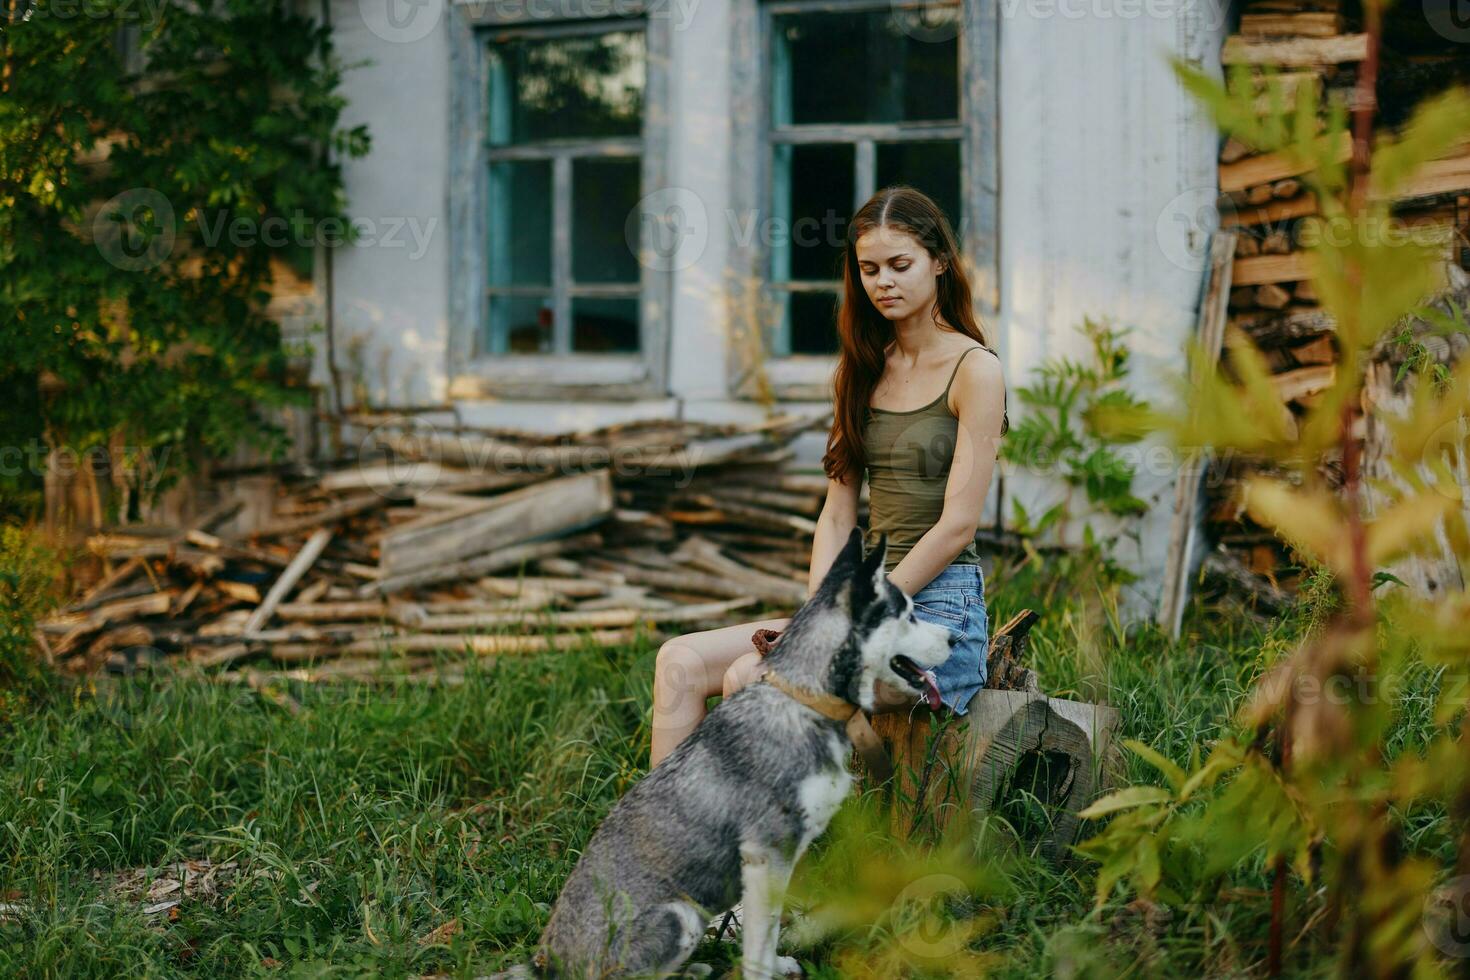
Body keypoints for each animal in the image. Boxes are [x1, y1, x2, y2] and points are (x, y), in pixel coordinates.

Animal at [526, 528, 952, 980]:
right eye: (908, 615)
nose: (955, 639)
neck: (805, 702)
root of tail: (546, 960)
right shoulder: (768, 854)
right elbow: (758, 944)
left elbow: (769, 932)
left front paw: (779, 964)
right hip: (678, 917)